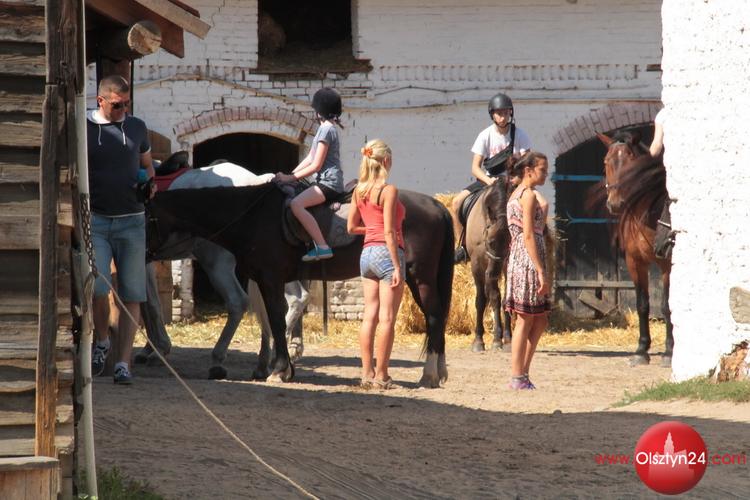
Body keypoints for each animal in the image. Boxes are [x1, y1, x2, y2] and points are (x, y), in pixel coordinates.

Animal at [146, 184, 454, 387]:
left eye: (147, 219)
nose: (144, 254)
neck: (253, 216)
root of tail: (437, 205)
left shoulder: (270, 280)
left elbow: (276, 320)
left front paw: (279, 369)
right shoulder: (266, 281)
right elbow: (273, 322)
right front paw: (282, 367)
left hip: (420, 276)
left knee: (434, 317)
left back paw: (429, 374)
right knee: (436, 318)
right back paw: (439, 372)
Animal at [463, 177, 513, 352]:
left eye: (509, 243)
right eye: (490, 242)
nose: (493, 274)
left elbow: (504, 299)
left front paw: (505, 339)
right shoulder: (477, 265)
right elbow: (481, 300)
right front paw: (479, 340)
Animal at [595, 130, 674, 367]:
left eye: (633, 163)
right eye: (606, 162)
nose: (615, 204)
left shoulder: (667, 266)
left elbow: (666, 306)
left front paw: (668, 352)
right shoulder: (635, 262)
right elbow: (642, 304)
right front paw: (641, 350)